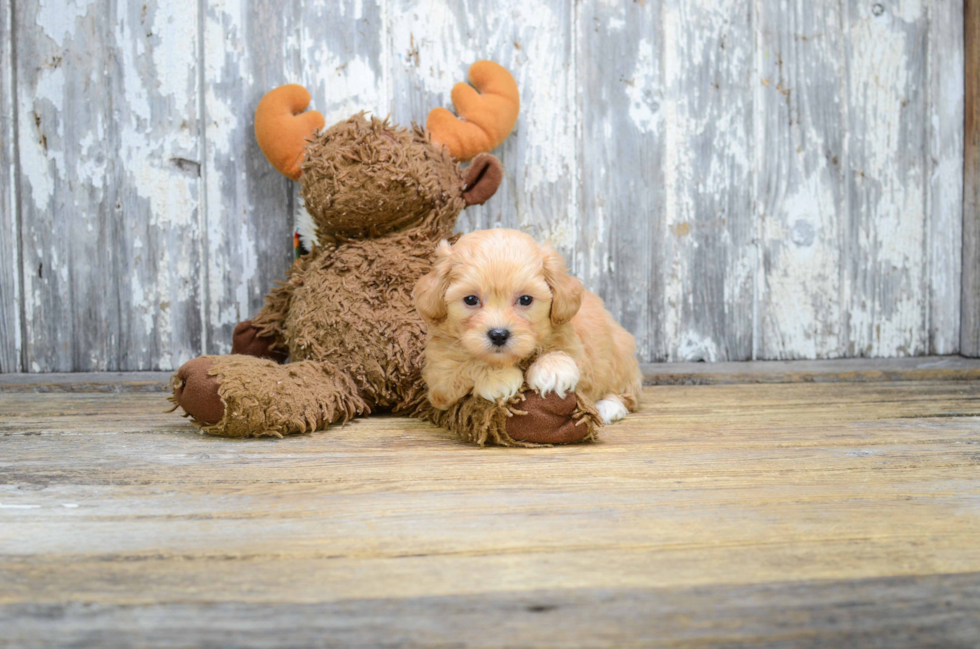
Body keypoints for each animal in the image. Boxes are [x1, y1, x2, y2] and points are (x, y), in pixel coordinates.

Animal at [414, 228, 644, 426]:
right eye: (471, 299)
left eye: (525, 299)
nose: (499, 335)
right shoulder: (439, 378)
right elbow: (466, 365)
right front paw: (499, 377)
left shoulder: (581, 355)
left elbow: (565, 355)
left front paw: (553, 370)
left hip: (620, 355)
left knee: (626, 392)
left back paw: (608, 408)